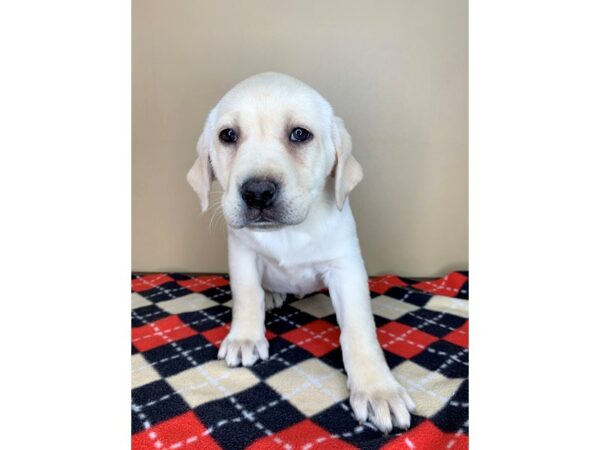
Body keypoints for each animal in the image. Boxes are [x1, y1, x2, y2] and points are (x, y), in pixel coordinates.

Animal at [190, 72, 414, 430]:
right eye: (228, 135)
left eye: (299, 134)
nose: (257, 192)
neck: (289, 234)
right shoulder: (242, 254)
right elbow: (247, 295)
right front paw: (245, 337)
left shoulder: (346, 268)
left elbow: (358, 329)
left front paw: (377, 388)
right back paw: (271, 295)